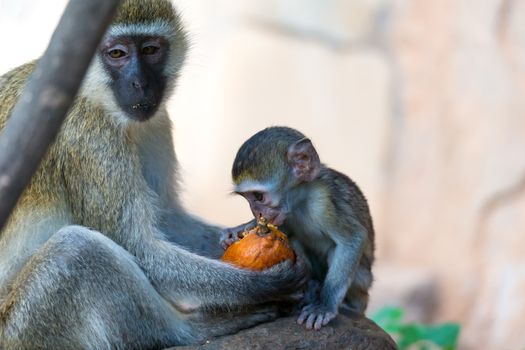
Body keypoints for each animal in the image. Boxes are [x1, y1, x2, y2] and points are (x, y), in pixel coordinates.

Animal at [0, 1, 304, 348]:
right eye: (117, 54)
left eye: (150, 50)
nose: (140, 83)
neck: (91, 94)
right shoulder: (88, 133)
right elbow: (139, 247)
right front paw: (261, 286)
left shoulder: (155, 122)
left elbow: (166, 217)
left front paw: (240, 232)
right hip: (25, 330)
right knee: (76, 250)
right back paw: (193, 329)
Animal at [219, 127, 374, 330]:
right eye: (247, 198)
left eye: (258, 196)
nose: (257, 213)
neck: (302, 199)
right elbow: (282, 228)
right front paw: (237, 230)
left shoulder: (324, 203)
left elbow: (353, 239)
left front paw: (325, 305)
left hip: (363, 281)